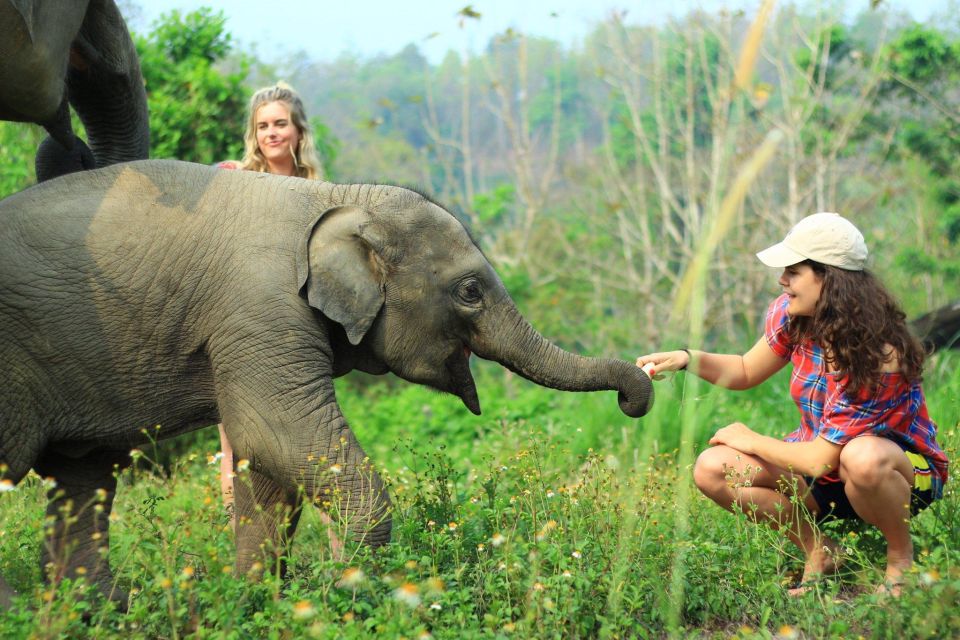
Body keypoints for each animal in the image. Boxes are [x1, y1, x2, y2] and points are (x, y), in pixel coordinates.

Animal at [0, 159, 652, 604]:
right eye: (470, 291)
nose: (635, 393)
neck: (337, 198)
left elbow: (268, 464)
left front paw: (259, 603)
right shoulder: (259, 310)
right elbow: (279, 436)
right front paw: (353, 596)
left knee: (82, 478)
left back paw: (96, 610)